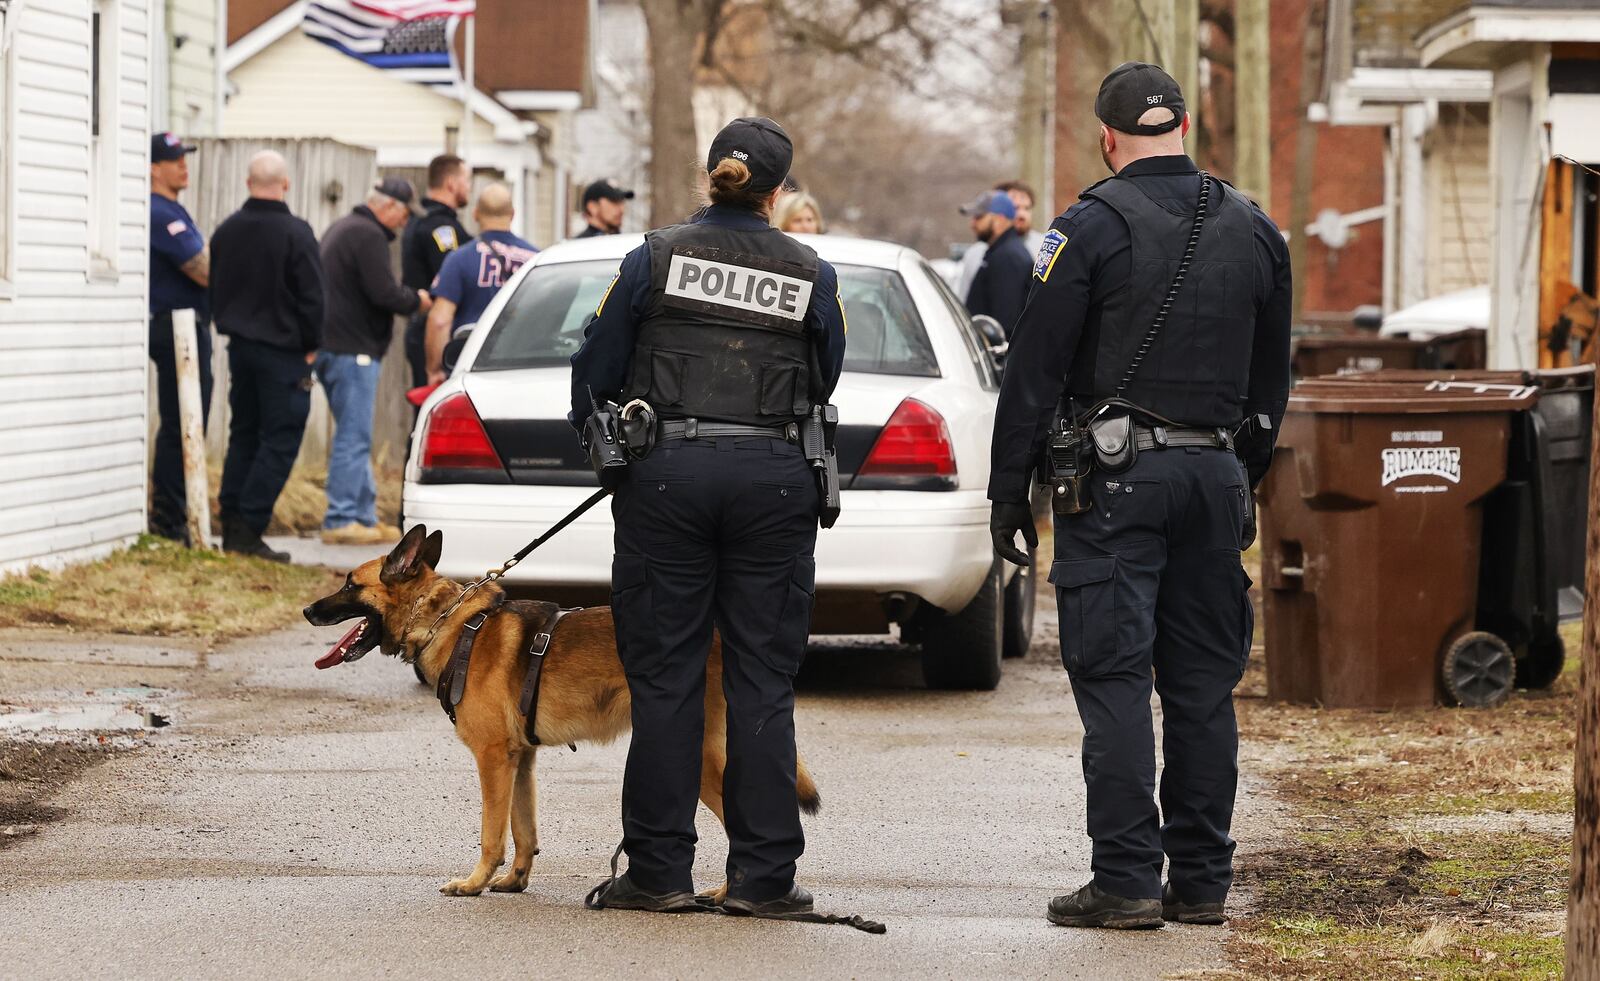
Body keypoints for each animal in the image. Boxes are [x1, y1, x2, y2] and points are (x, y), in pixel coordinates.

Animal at [300, 524, 825, 896]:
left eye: (349, 584)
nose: (306, 611)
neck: (447, 622)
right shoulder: (520, 760)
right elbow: (522, 827)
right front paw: (514, 881)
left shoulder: (493, 759)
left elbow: (492, 832)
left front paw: (474, 883)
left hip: (700, 762)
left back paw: (725, 893)